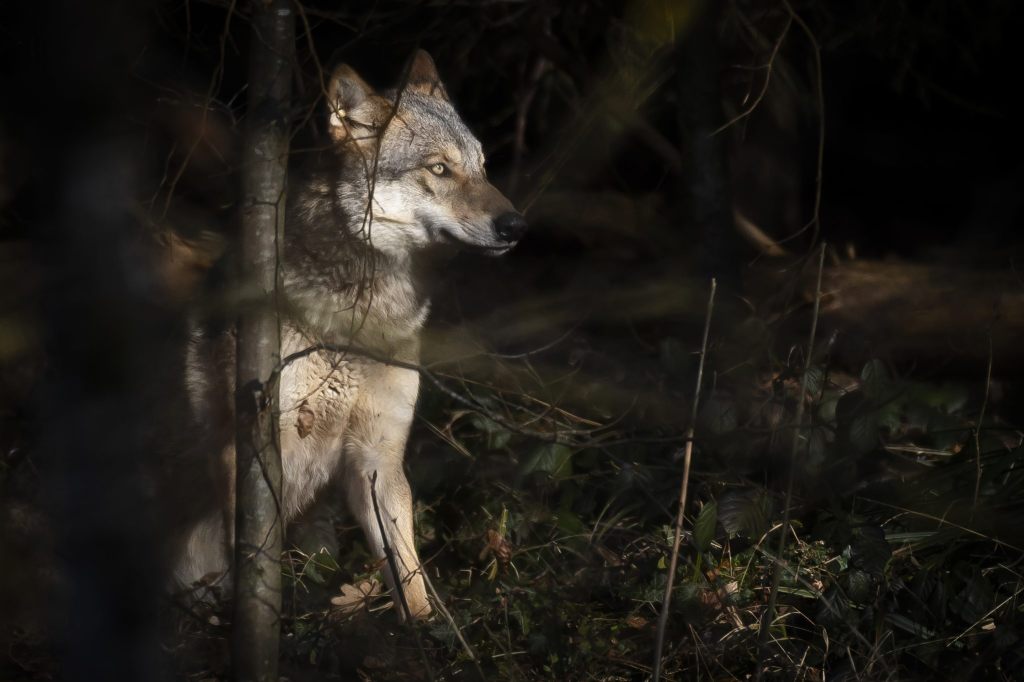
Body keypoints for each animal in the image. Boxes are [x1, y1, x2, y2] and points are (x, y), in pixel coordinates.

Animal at [175, 50, 526, 619]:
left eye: (482, 167)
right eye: (439, 168)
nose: (517, 226)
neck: (362, 318)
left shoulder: (377, 459)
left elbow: (410, 579)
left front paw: (426, 634)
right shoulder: (249, 457)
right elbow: (254, 567)